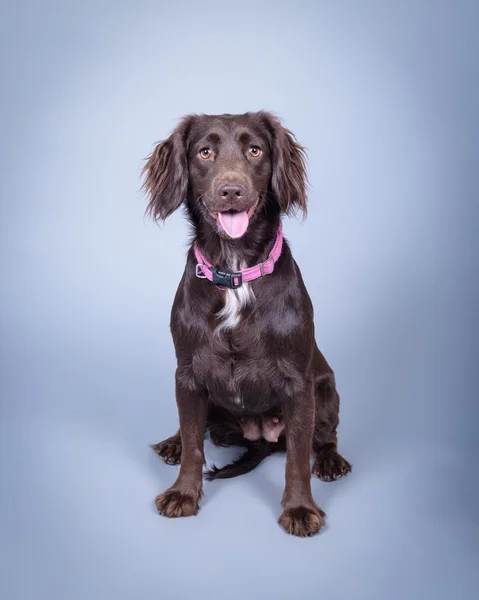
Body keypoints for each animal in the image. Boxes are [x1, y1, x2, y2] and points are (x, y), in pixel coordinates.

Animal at [142, 110, 352, 536]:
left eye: (255, 150)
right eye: (204, 152)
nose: (231, 190)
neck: (235, 268)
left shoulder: (298, 383)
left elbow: (297, 457)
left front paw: (300, 509)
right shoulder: (187, 374)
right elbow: (194, 443)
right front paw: (183, 493)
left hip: (327, 388)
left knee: (324, 437)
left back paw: (330, 461)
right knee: (196, 431)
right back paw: (172, 442)